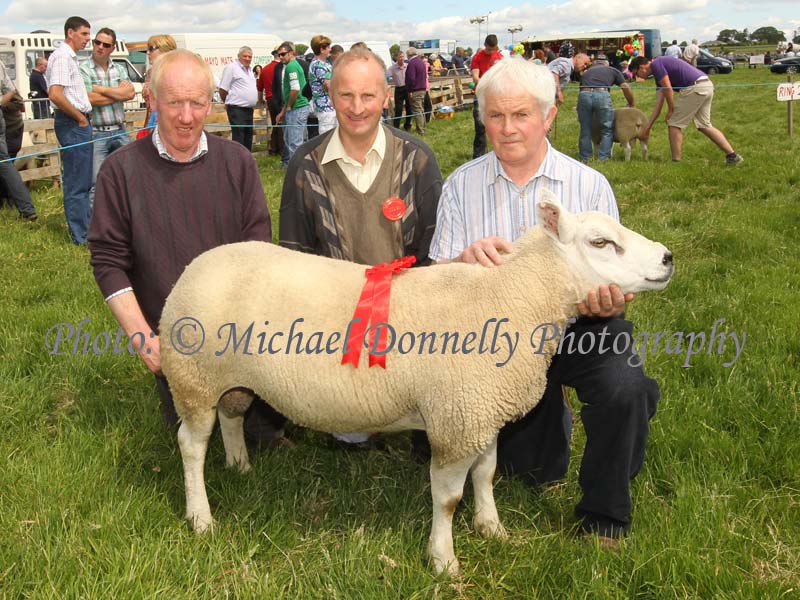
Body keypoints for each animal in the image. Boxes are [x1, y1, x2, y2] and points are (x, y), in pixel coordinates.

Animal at [159, 193, 672, 576]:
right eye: (601, 242)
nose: (668, 258)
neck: (512, 298)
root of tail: (195, 265)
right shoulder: (455, 420)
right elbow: (447, 500)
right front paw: (443, 560)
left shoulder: (478, 411)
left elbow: (486, 474)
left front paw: (491, 528)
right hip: (193, 378)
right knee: (190, 445)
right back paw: (200, 516)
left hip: (227, 378)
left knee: (232, 415)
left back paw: (239, 466)